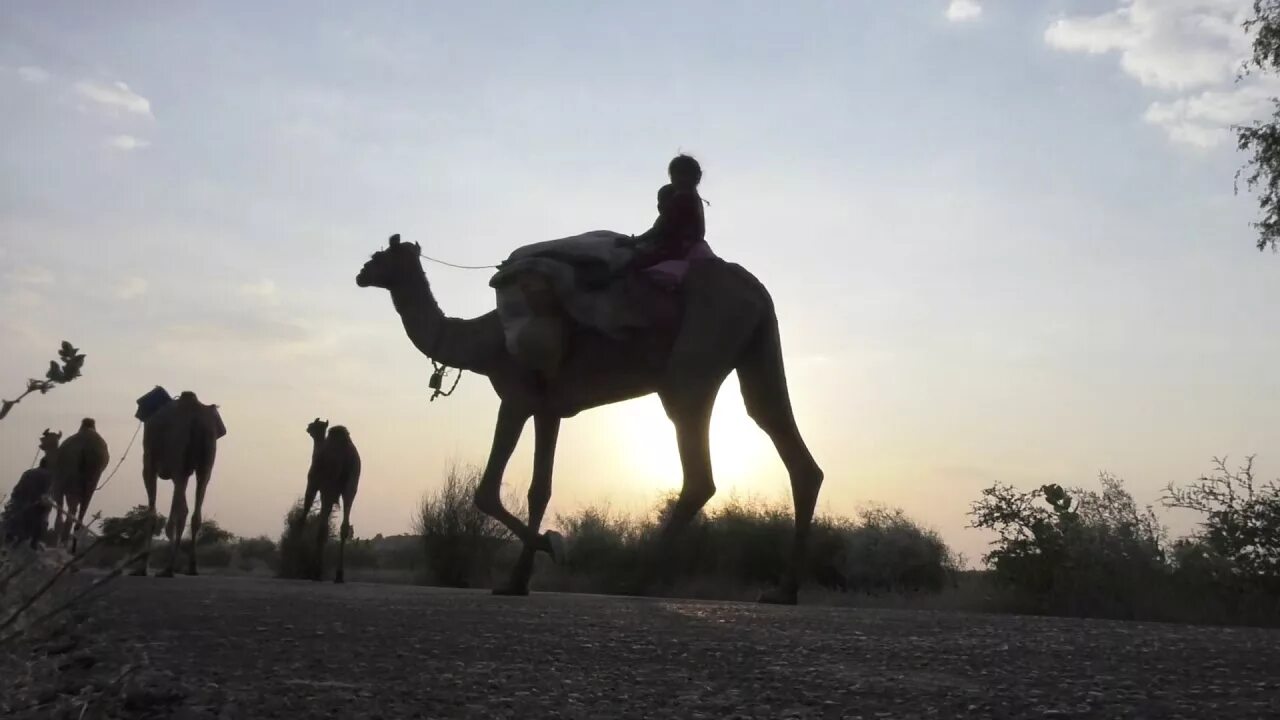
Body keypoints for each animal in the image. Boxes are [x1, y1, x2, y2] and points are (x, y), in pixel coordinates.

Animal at [45, 415, 110, 548]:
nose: (41, 445)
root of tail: (88, 449)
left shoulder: (59, 487)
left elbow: (59, 516)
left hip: (72, 483)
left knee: (70, 514)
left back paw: (64, 544)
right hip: (93, 479)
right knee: (80, 514)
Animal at [134, 389, 222, 573]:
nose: (137, 413)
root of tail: (195, 419)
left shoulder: (149, 462)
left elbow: (151, 512)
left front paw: (142, 567)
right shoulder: (185, 471)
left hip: (178, 450)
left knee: (183, 509)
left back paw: (169, 568)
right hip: (207, 455)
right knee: (198, 498)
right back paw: (191, 567)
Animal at [298, 417, 360, 579]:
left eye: (315, 423)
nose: (308, 427)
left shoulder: (313, 484)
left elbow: (305, 512)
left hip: (329, 485)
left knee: (322, 528)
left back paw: (317, 572)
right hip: (351, 486)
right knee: (344, 527)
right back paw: (339, 574)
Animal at [355, 234, 824, 599]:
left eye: (380, 255)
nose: (360, 273)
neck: (483, 340)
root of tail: (758, 291)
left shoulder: (516, 396)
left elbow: (487, 491)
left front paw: (554, 547)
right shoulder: (549, 409)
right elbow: (539, 491)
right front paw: (517, 581)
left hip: (696, 358)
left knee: (698, 470)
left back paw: (636, 581)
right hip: (759, 346)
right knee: (778, 429)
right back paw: (783, 590)